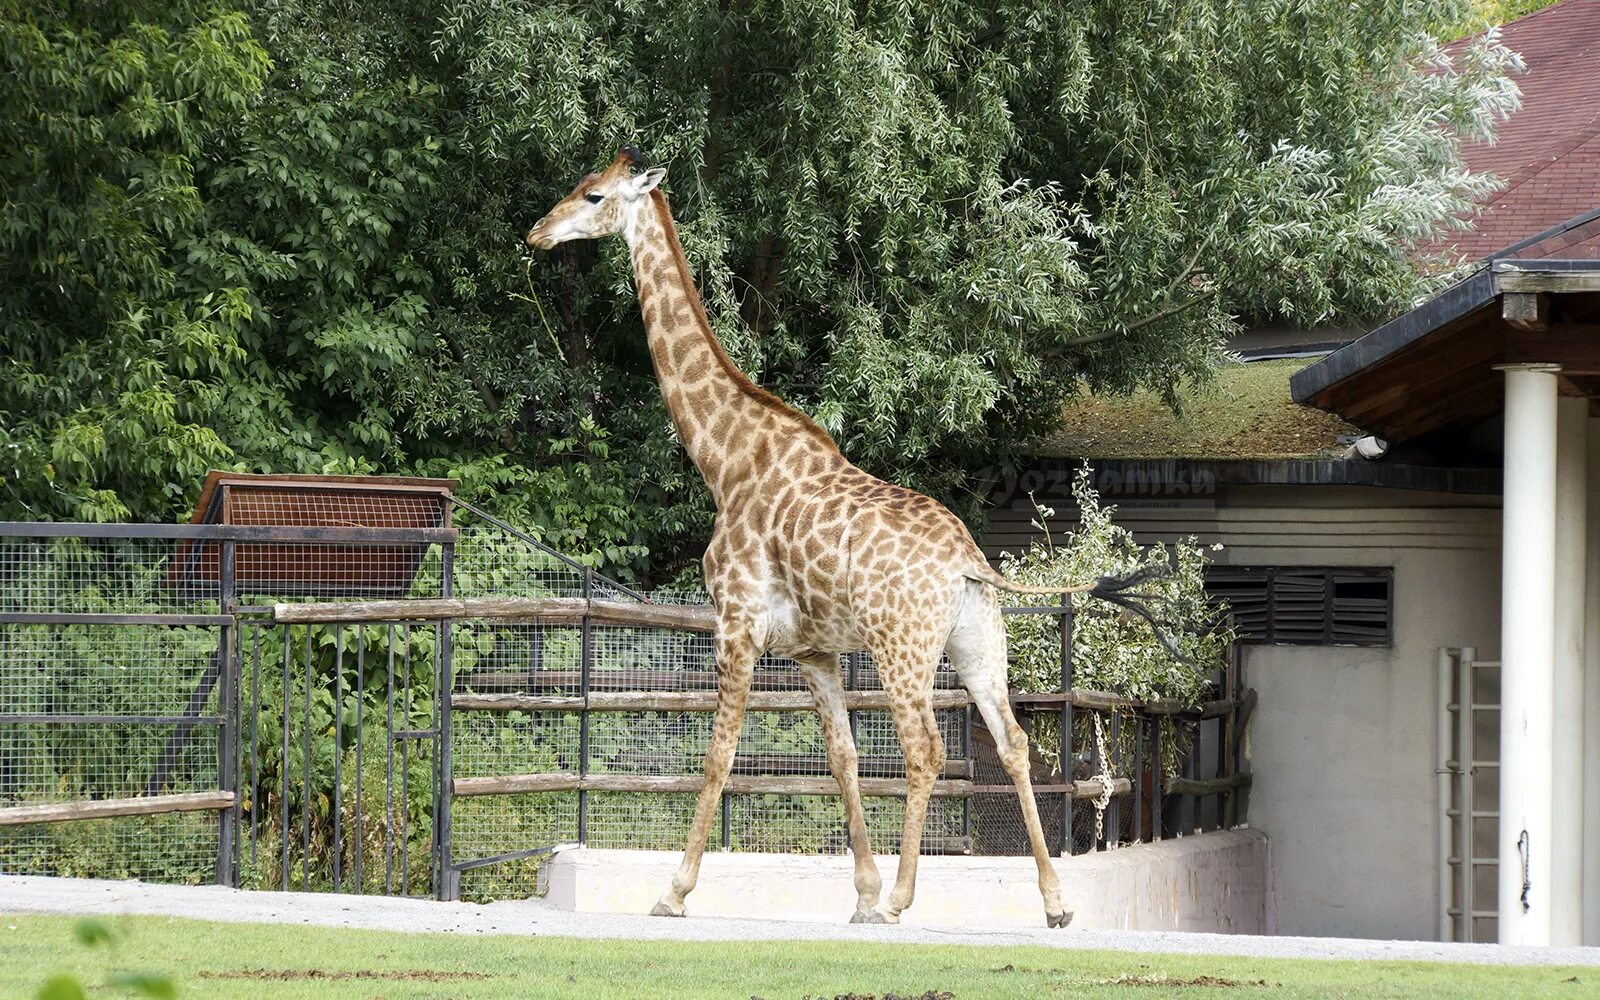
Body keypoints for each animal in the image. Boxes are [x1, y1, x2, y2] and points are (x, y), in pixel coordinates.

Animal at [524, 148, 1164, 928]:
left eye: (594, 196)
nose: (538, 232)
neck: (724, 460)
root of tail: (970, 563)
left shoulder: (736, 622)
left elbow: (719, 754)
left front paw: (674, 893)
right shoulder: (814, 650)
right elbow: (843, 758)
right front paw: (858, 893)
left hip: (901, 646)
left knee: (925, 749)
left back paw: (904, 900)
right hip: (976, 642)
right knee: (1011, 743)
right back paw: (1054, 903)